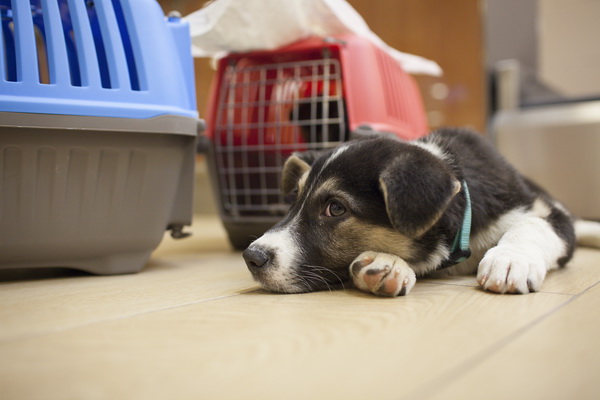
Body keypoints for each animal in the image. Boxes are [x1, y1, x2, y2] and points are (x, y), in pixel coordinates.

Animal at [241, 128, 596, 296]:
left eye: (336, 208)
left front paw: (509, 262)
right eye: (293, 201)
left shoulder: (545, 209)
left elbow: (530, 226)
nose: (251, 257)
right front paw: (384, 265)